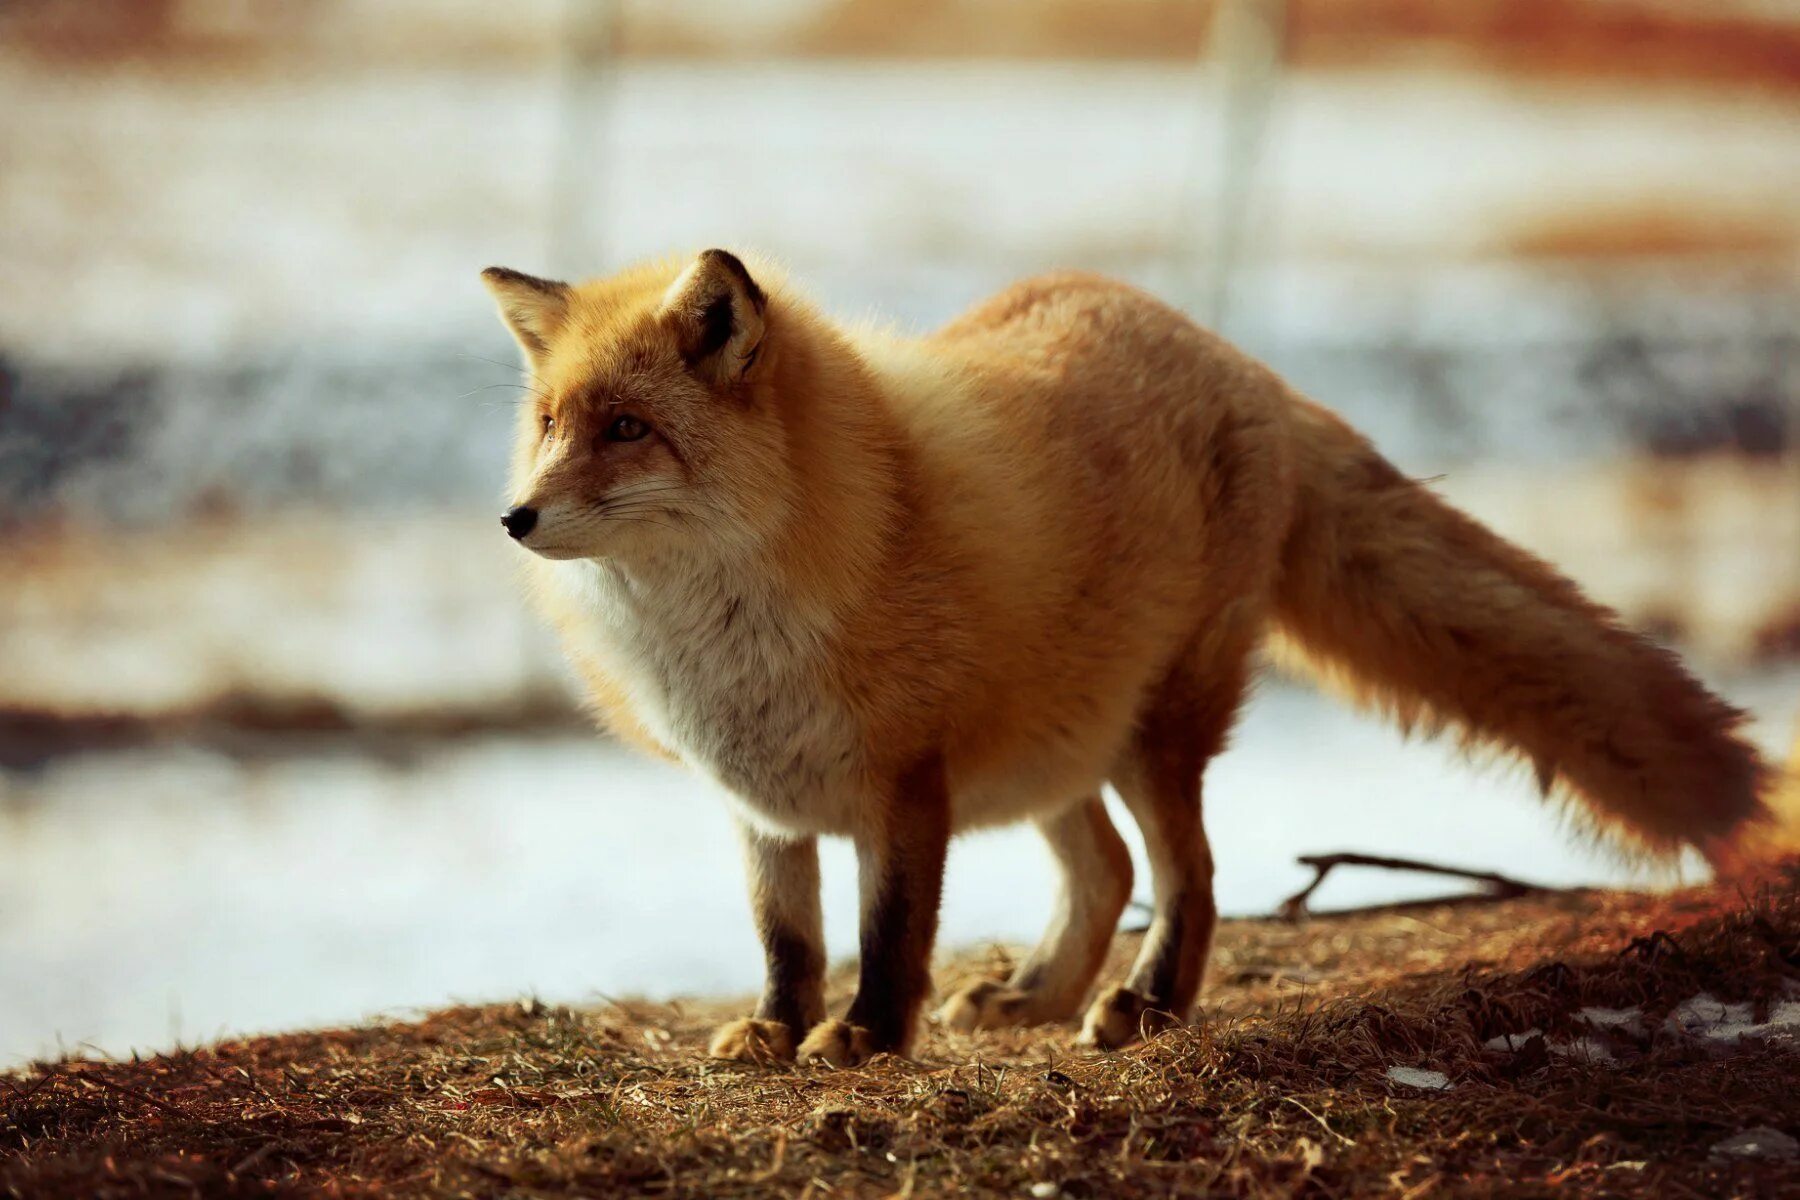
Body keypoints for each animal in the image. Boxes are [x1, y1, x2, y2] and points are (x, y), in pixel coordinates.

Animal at [475, 248, 1771, 1065]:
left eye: (628, 429)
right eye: (547, 424)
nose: (515, 520)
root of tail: (1235, 358)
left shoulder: (908, 784)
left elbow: (890, 935)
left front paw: (867, 1041)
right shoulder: (762, 800)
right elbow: (786, 940)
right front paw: (780, 1032)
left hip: (1156, 737)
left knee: (1188, 876)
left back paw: (1143, 1008)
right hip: (1062, 742)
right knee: (1102, 872)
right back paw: (1036, 997)